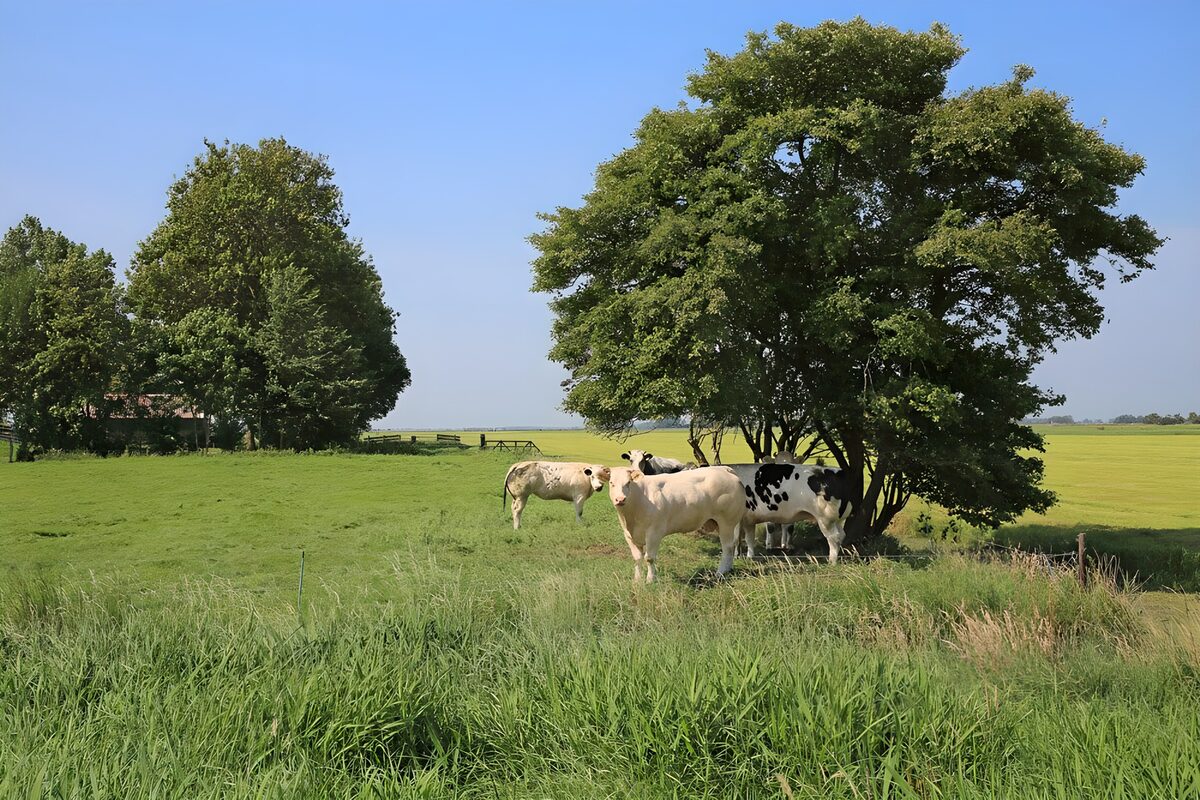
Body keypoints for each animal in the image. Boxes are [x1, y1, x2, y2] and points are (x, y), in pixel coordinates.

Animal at [607, 466, 747, 583]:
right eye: (611, 483)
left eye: (628, 483)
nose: (620, 499)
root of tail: (724, 469)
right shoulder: (628, 535)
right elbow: (637, 558)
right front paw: (636, 581)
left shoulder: (654, 532)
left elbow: (649, 558)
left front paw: (650, 580)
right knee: (731, 547)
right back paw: (727, 570)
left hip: (727, 522)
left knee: (727, 547)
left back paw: (720, 573)